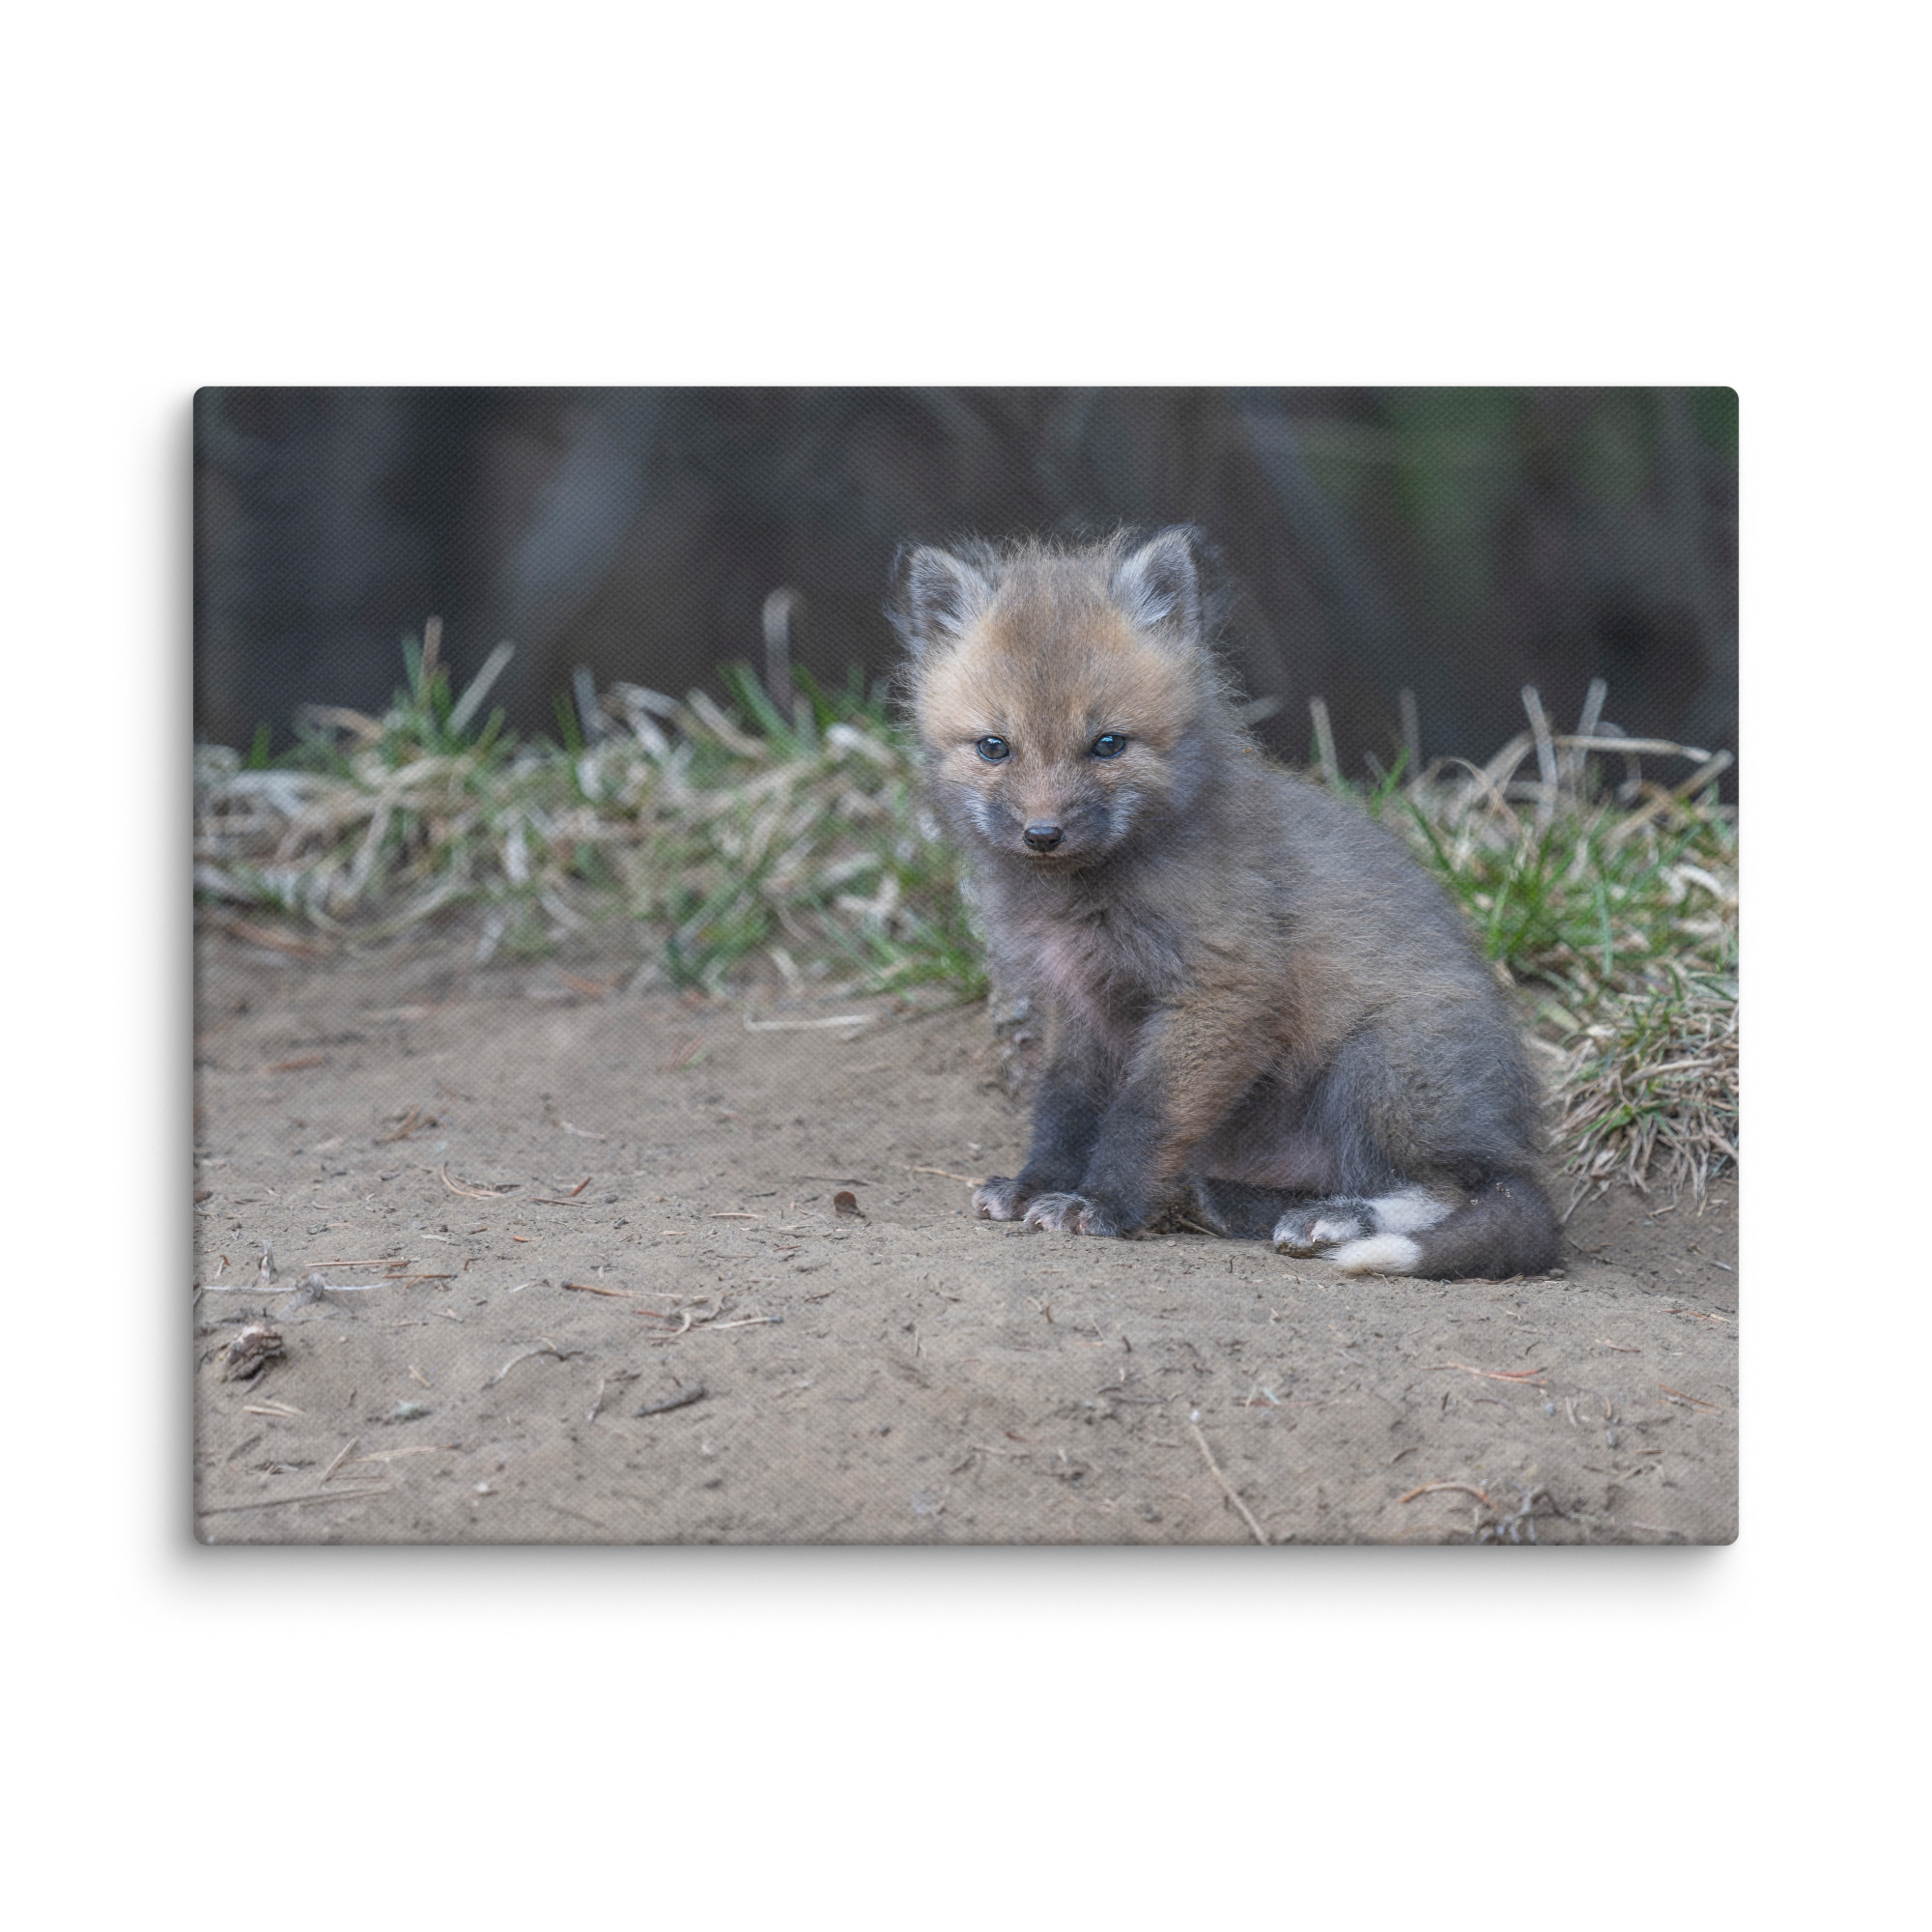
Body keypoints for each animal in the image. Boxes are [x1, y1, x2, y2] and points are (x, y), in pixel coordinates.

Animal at [890, 526, 1561, 1281]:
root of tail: (1513, 1136)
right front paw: (1038, 1185)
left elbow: (1143, 1115)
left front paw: (1103, 1205)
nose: (1042, 834)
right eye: (994, 747)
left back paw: (1336, 1219)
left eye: (1108, 745)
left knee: (1462, 1190)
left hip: (1381, 1068)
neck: (1085, 898)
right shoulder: (1080, 1003)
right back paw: (1233, 1202)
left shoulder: (1223, 987)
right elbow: (1064, 1106)